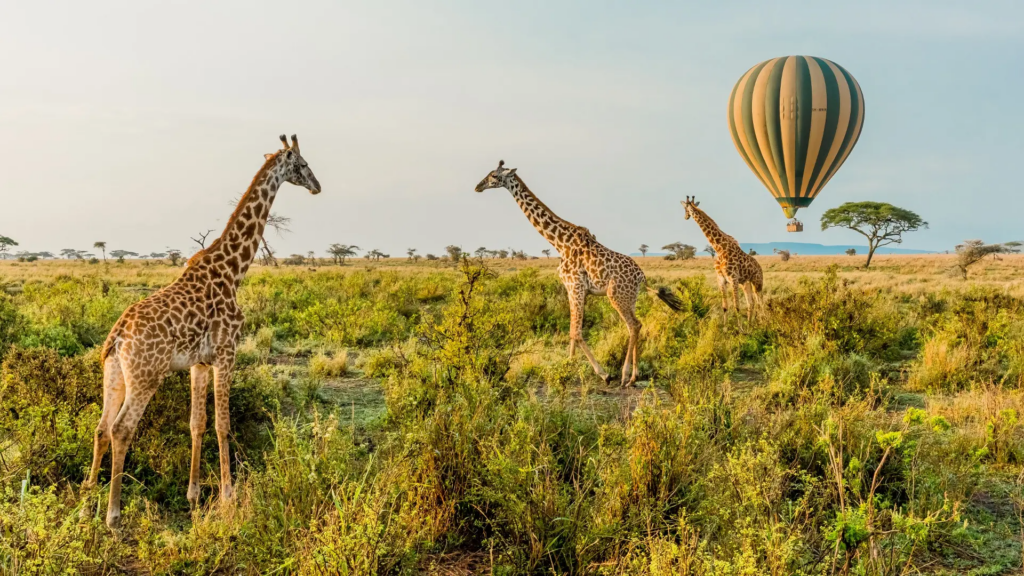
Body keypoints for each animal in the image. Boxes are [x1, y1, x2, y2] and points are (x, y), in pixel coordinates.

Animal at [82, 135, 321, 530]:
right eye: (302, 164)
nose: (317, 186)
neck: (234, 270)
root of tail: (118, 336)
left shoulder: (199, 363)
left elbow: (197, 423)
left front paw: (193, 495)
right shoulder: (227, 352)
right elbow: (223, 424)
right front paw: (228, 497)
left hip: (114, 374)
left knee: (101, 428)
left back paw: (87, 501)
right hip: (146, 377)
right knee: (121, 430)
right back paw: (113, 515)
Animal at [475, 160, 683, 386]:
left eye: (494, 176)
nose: (478, 186)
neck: (559, 242)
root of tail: (642, 277)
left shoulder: (575, 286)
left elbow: (576, 331)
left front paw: (603, 373)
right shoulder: (572, 289)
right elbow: (571, 331)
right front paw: (568, 365)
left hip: (616, 295)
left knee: (634, 325)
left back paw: (624, 375)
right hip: (631, 298)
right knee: (637, 325)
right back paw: (634, 377)